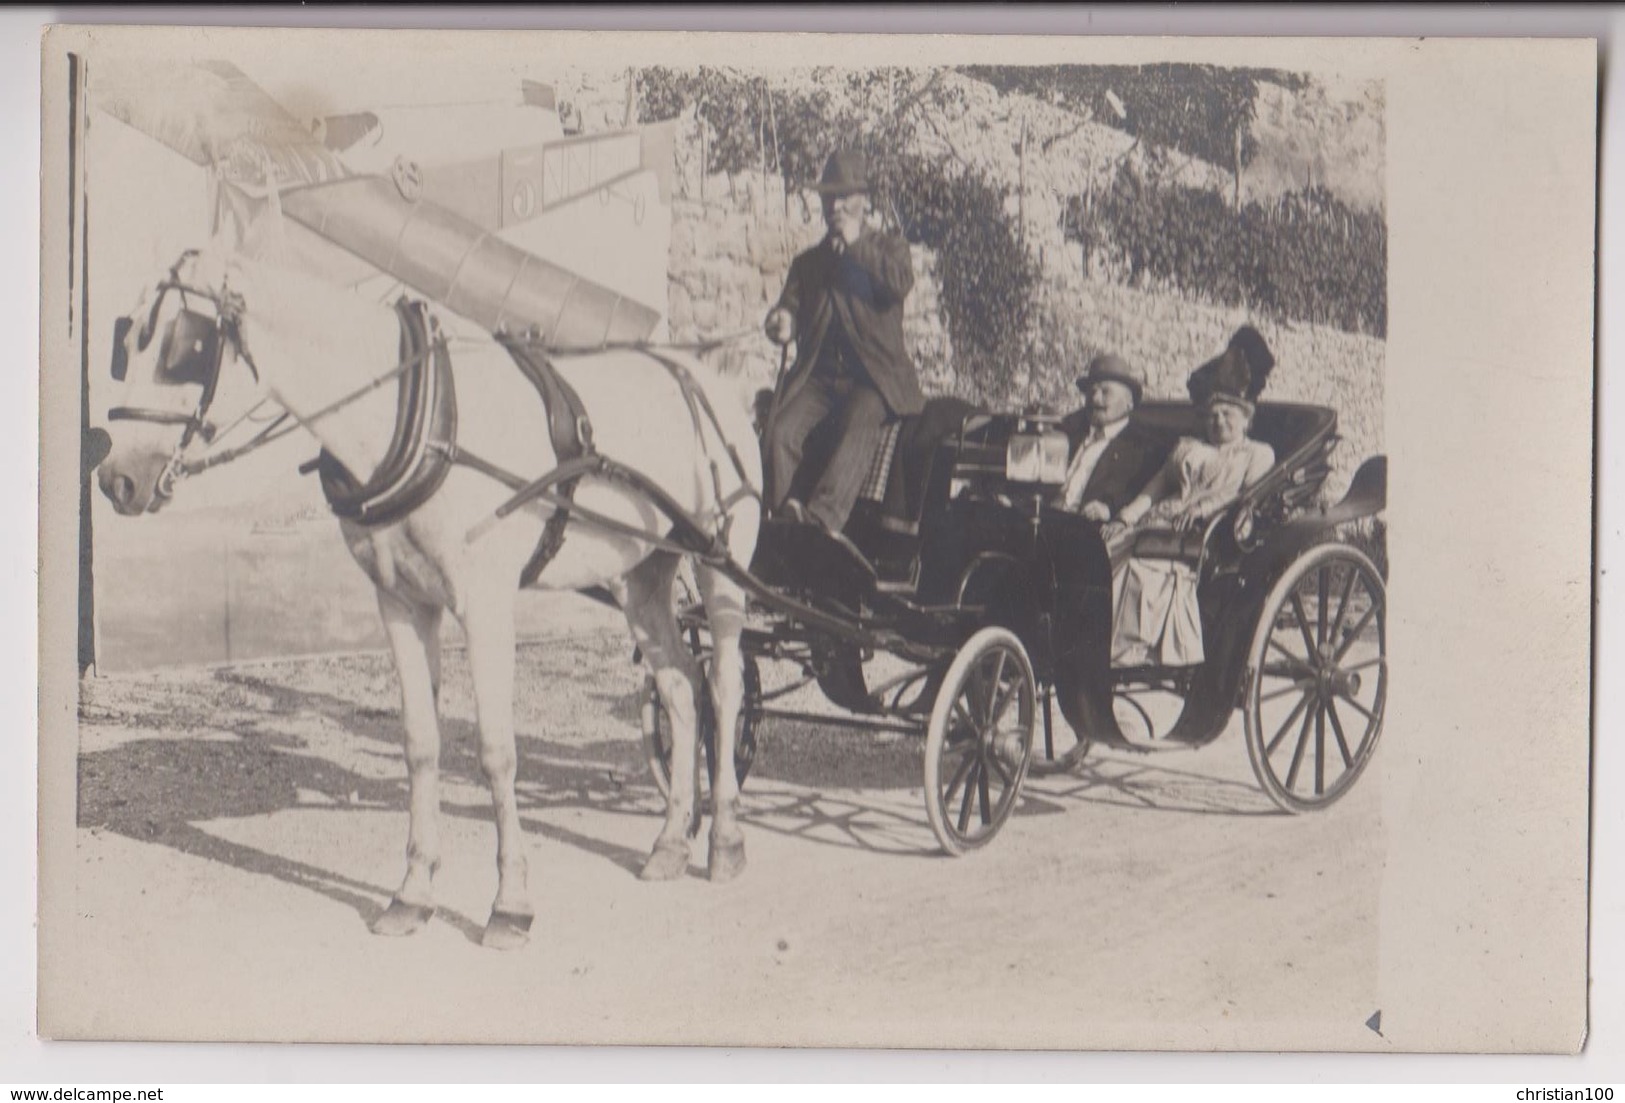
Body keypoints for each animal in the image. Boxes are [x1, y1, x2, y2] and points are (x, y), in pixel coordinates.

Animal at [98, 248, 763, 948]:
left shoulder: (485, 605)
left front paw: (511, 901)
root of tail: (708, 379)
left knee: (723, 688)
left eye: (187, 347)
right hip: (640, 575)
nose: (116, 479)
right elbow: (420, 743)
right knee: (681, 689)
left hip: (722, 564)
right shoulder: (403, 603)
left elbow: (497, 752)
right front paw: (413, 892)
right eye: (126, 343)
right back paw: (670, 842)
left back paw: (724, 840)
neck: (410, 415)